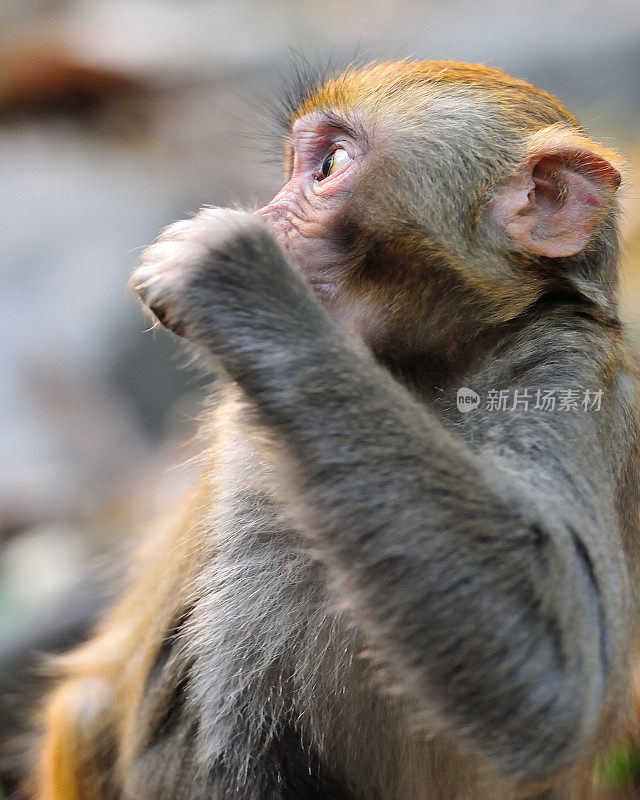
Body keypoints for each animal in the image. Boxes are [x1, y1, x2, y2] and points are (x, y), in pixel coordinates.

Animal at [33, 61, 640, 800]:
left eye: (328, 166)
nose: (264, 217)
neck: (424, 373)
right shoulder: (254, 454)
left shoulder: (577, 368)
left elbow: (563, 678)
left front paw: (241, 285)